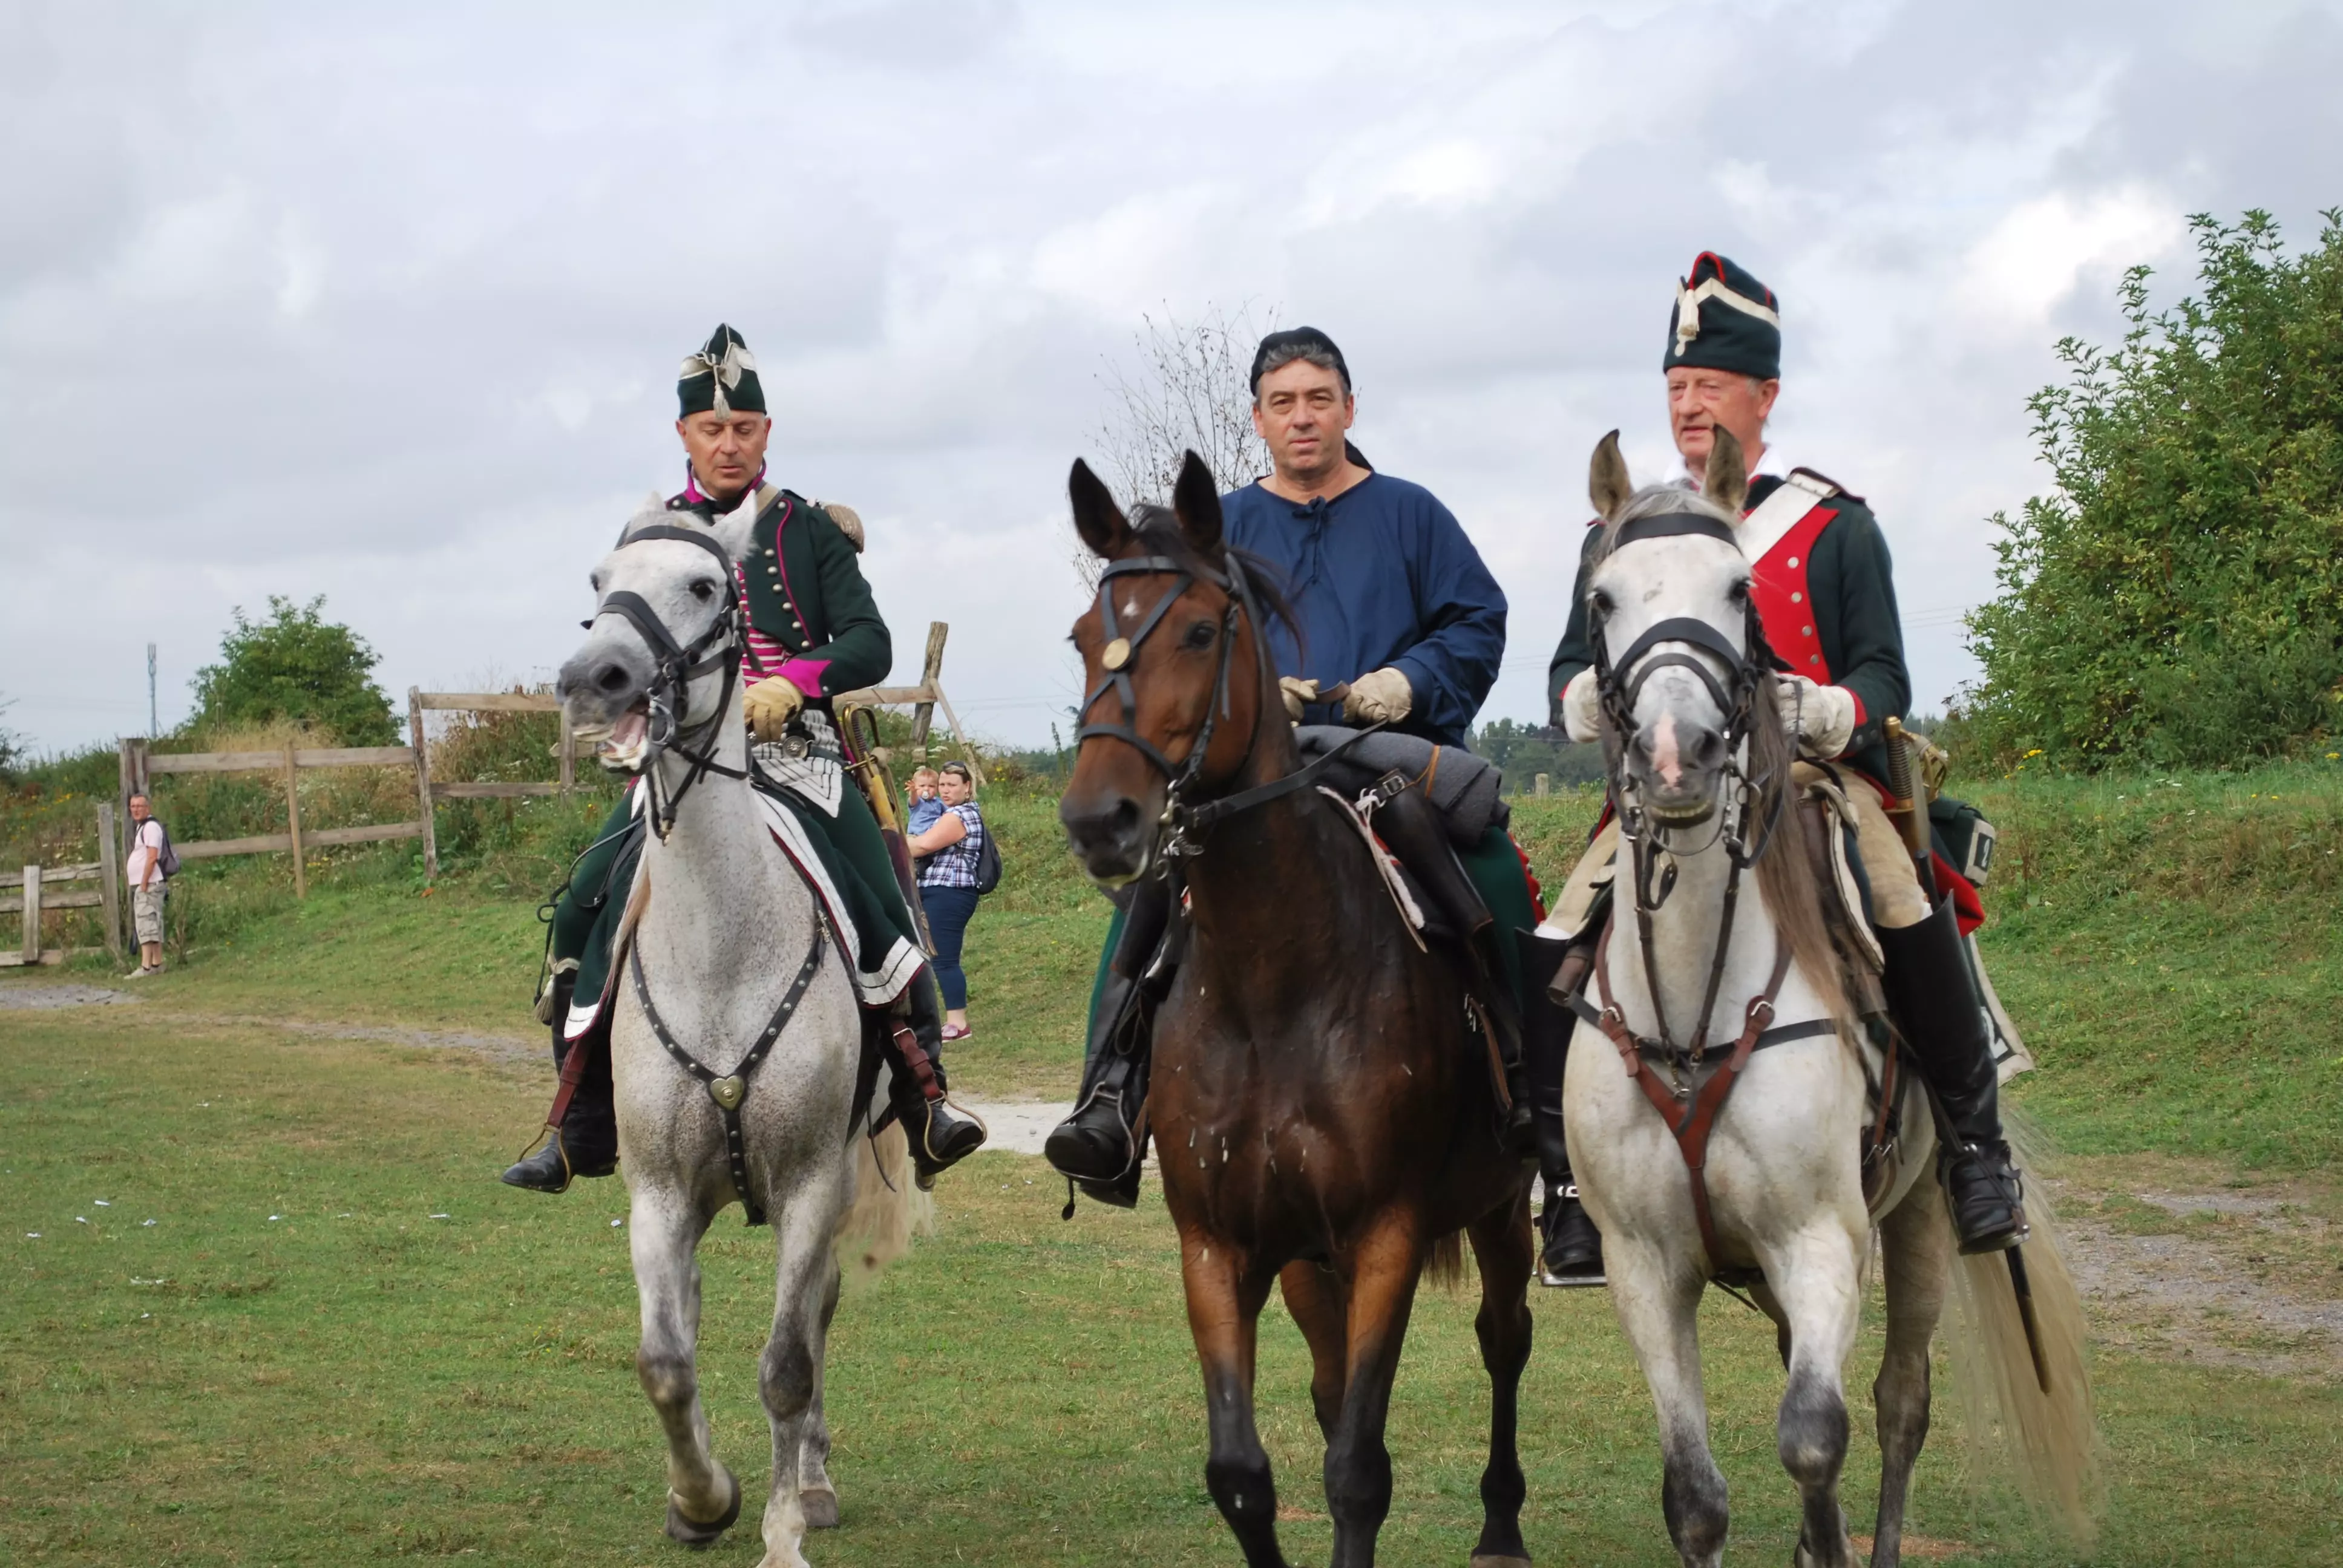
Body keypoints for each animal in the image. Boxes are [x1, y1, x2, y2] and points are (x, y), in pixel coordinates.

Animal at [552, 499, 918, 1566]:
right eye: (600, 585)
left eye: (706, 586)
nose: (595, 680)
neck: (720, 951)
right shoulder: (659, 1194)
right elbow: (666, 1361)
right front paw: (702, 1498)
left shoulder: (809, 1184)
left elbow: (788, 1362)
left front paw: (784, 1526)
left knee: (817, 1318)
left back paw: (816, 1480)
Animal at [1565, 433, 2099, 1566]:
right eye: (1603, 598)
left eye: (1737, 589)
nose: (1677, 757)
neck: (1694, 1008)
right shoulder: (1647, 1266)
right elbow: (1696, 1493)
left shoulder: (1820, 1237)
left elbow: (1815, 1436)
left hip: (1920, 1216)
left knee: (1898, 1404)